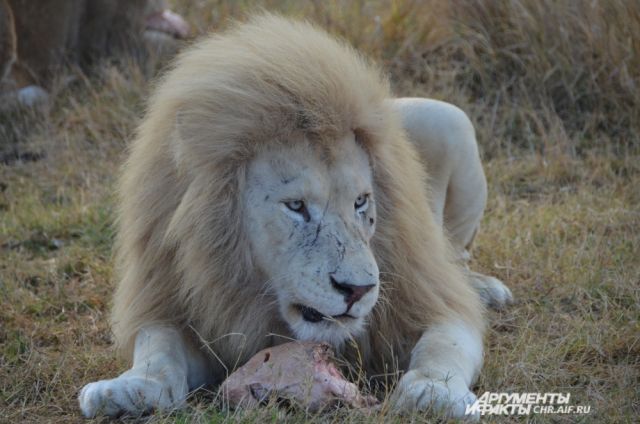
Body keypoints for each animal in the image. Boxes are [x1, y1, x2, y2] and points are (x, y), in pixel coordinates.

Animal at [79, 14, 510, 420]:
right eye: (296, 206)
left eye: (361, 202)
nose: (357, 290)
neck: (258, 291)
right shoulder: (180, 304)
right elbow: (157, 350)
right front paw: (127, 389)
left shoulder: (424, 295)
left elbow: (444, 345)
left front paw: (432, 393)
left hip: (448, 119)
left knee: (459, 258)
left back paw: (484, 290)